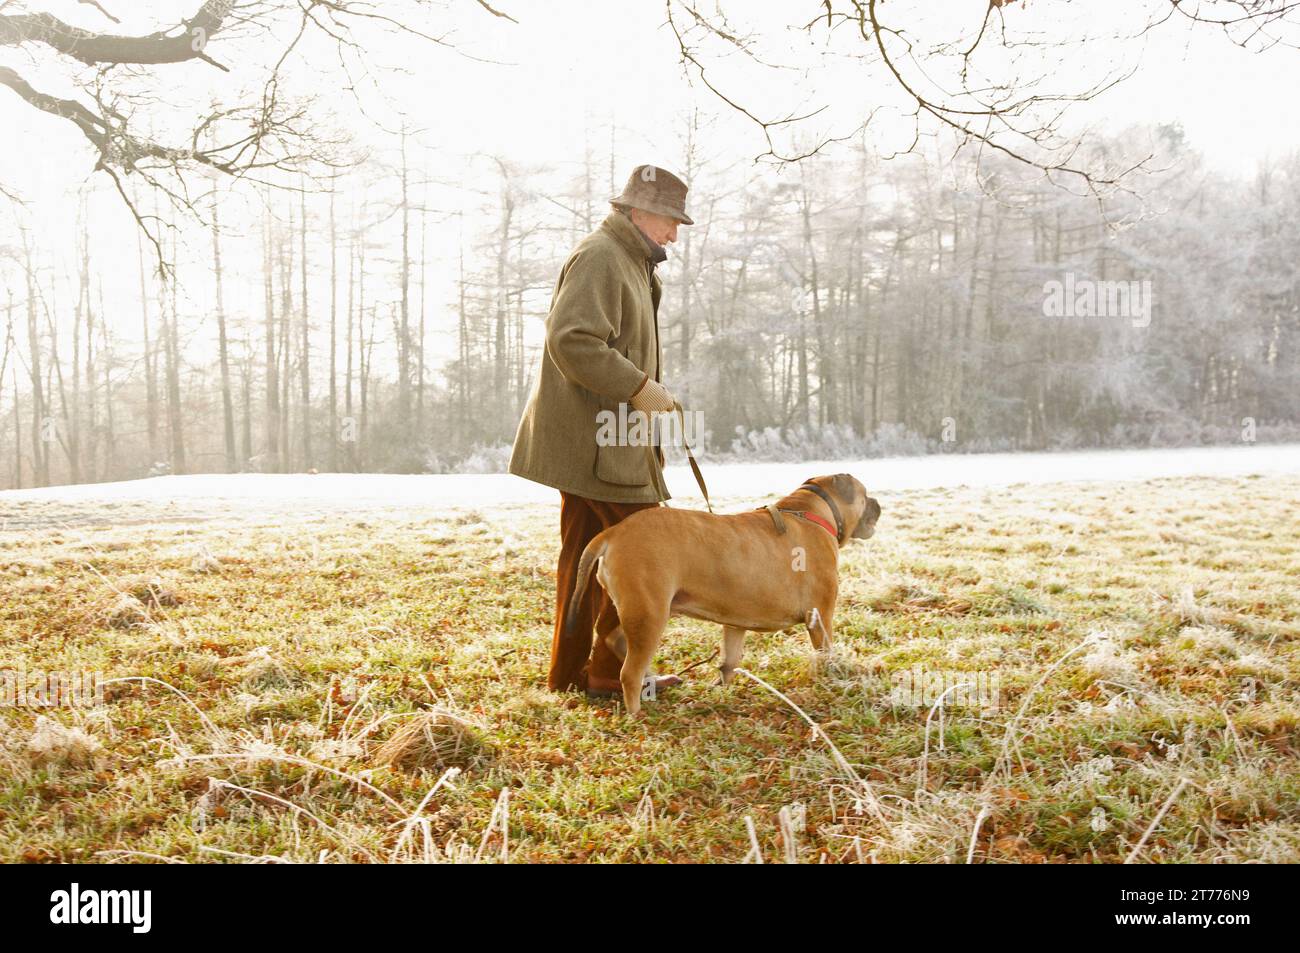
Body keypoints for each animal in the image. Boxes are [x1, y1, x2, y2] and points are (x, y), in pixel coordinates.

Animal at [561, 475, 878, 712]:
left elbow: (729, 660)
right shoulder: (821, 616)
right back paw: (637, 711)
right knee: (629, 671)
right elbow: (826, 652)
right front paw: (832, 678)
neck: (811, 512)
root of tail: (613, 532)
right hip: (650, 613)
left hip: (640, 609)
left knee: (614, 638)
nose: (877, 503)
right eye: (865, 494)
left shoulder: (736, 623)